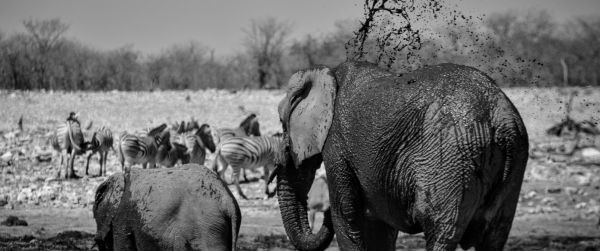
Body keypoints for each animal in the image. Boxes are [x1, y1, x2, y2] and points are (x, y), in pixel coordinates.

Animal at [274, 61, 528, 251]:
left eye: (282, 123)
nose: (322, 209)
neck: (328, 74)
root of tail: (501, 116)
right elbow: (378, 227)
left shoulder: (336, 143)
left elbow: (346, 214)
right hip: (513, 161)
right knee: (495, 235)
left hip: (453, 155)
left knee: (441, 231)